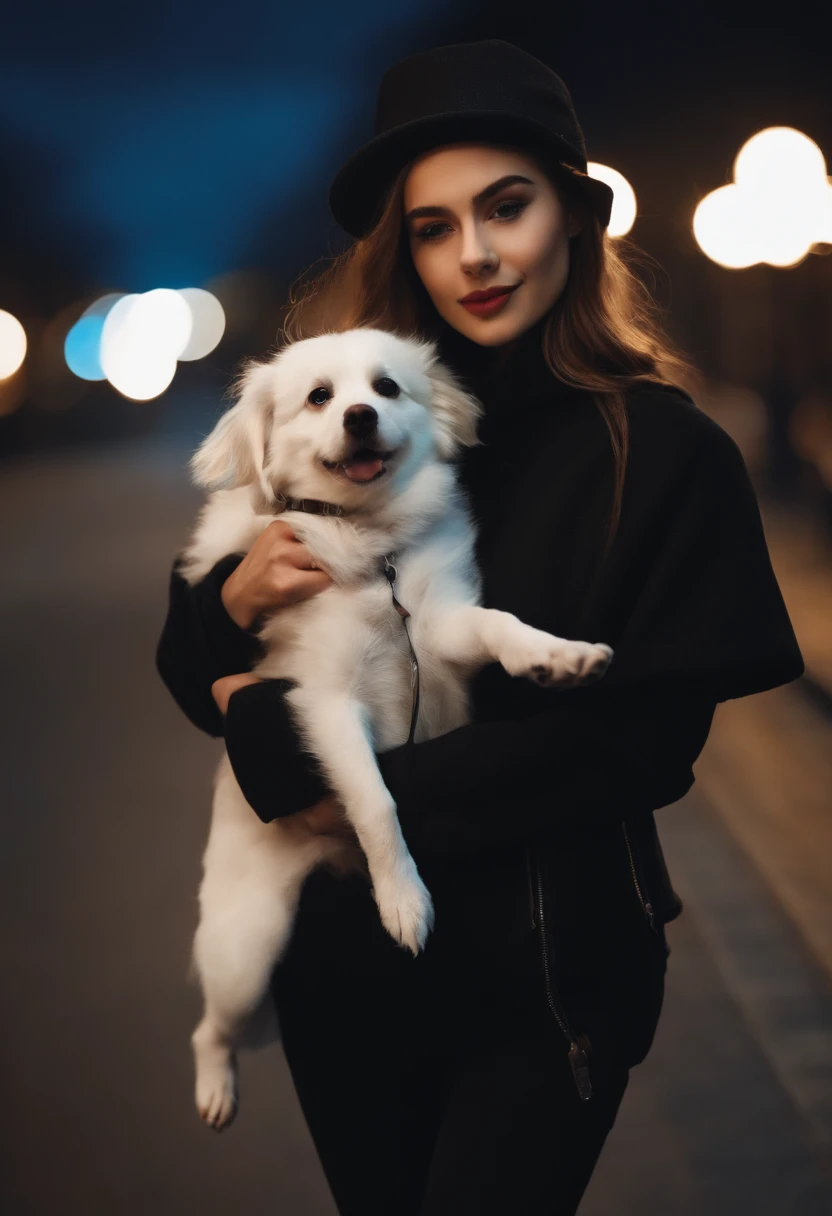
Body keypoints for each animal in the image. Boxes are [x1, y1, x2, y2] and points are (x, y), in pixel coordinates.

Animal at [178, 325, 613, 1128]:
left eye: (385, 389)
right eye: (320, 397)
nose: (359, 416)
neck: (371, 547)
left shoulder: (441, 631)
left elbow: (501, 626)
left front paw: (556, 656)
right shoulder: (326, 705)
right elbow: (377, 803)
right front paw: (405, 900)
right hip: (245, 949)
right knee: (210, 1028)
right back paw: (215, 1087)